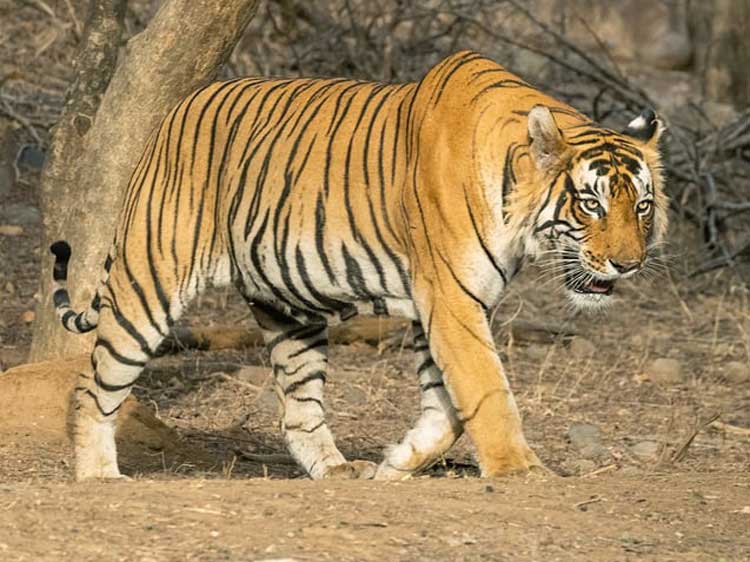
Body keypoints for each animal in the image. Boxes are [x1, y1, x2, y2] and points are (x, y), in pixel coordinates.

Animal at [49, 50, 667, 481]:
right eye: (591, 205)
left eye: (641, 206)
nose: (628, 264)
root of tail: (173, 113)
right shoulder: (451, 300)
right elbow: (487, 390)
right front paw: (522, 471)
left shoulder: (442, 307)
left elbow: (447, 407)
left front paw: (398, 462)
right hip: (149, 280)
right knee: (92, 385)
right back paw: (99, 476)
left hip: (288, 309)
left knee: (298, 410)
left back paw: (339, 470)